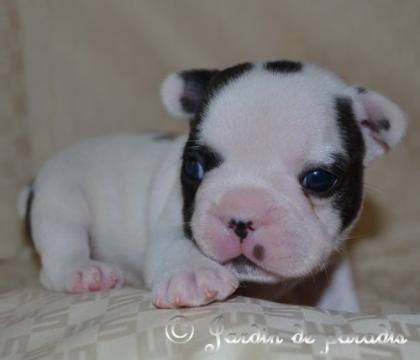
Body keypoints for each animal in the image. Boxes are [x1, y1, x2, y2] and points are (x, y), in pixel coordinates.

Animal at [18, 59, 406, 312]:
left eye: (319, 179)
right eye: (195, 166)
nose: (242, 217)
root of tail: (34, 185)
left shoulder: (331, 265)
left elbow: (336, 296)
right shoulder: (175, 220)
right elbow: (176, 244)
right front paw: (193, 274)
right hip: (61, 197)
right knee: (61, 247)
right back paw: (84, 272)